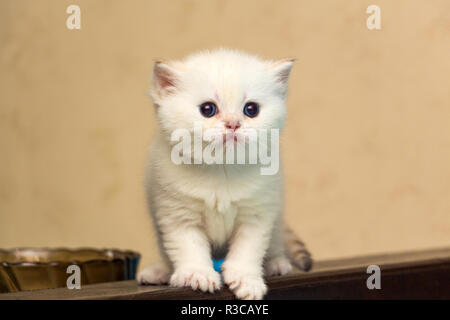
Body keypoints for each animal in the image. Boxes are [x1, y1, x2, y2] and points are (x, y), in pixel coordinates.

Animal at [139, 48, 312, 298]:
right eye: (207, 109)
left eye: (251, 109)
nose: (233, 124)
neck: (222, 169)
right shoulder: (177, 214)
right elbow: (188, 247)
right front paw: (197, 274)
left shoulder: (257, 213)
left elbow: (248, 250)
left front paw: (247, 279)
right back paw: (160, 272)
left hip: (277, 217)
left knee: (275, 243)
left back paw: (275, 263)